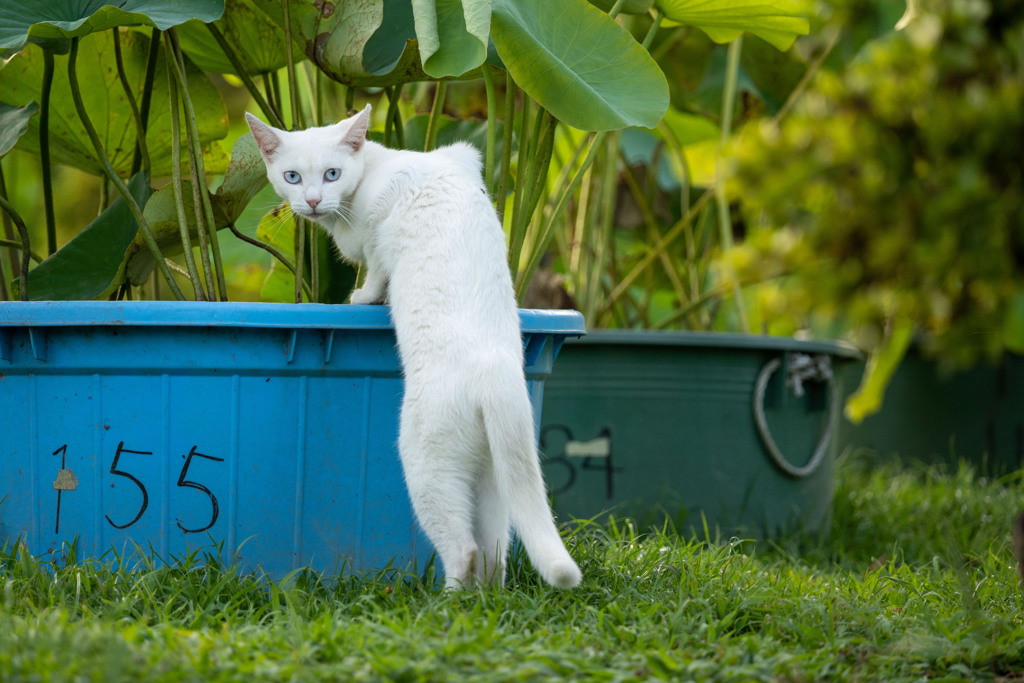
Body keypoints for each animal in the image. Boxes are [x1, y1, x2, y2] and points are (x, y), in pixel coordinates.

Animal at [246, 107, 581, 593]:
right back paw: (487, 600)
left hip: (426, 467)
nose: (311, 200)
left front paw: (362, 298)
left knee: (465, 550)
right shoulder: (465, 158)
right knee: (495, 552)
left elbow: (375, 270)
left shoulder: (381, 221)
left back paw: (445, 601)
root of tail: (496, 373)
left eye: (331, 174)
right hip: (493, 479)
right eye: (292, 177)